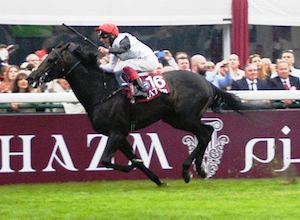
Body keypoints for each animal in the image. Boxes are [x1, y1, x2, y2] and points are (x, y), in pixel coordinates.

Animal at [28, 42, 251, 186]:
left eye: (51, 59)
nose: (31, 77)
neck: (101, 91)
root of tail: (206, 81)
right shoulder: (118, 134)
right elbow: (132, 156)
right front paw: (157, 179)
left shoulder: (116, 132)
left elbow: (107, 160)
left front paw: (131, 167)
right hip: (176, 118)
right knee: (205, 132)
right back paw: (199, 168)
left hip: (184, 118)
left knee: (206, 133)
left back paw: (188, 169)